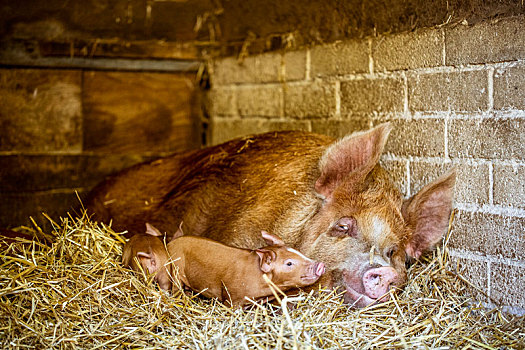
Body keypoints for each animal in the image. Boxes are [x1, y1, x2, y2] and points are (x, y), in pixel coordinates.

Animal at [167, 230, 324, 306]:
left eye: (298, 251)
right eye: (289, 263)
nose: (320, 264)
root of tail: (169, 243)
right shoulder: (231, 297)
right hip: (175, 272)